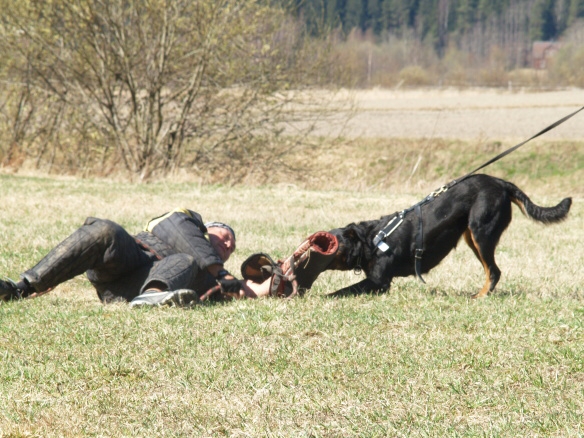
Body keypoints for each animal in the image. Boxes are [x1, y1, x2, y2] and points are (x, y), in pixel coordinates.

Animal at [326, 174, 572, 298]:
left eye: (332, 243)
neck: (372, 240)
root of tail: (502, 183)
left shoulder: (379, 281)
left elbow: (344, 290)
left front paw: (326, 296)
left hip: (481, 231)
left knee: (494, 271)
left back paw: (480, 296)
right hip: (471, 236)